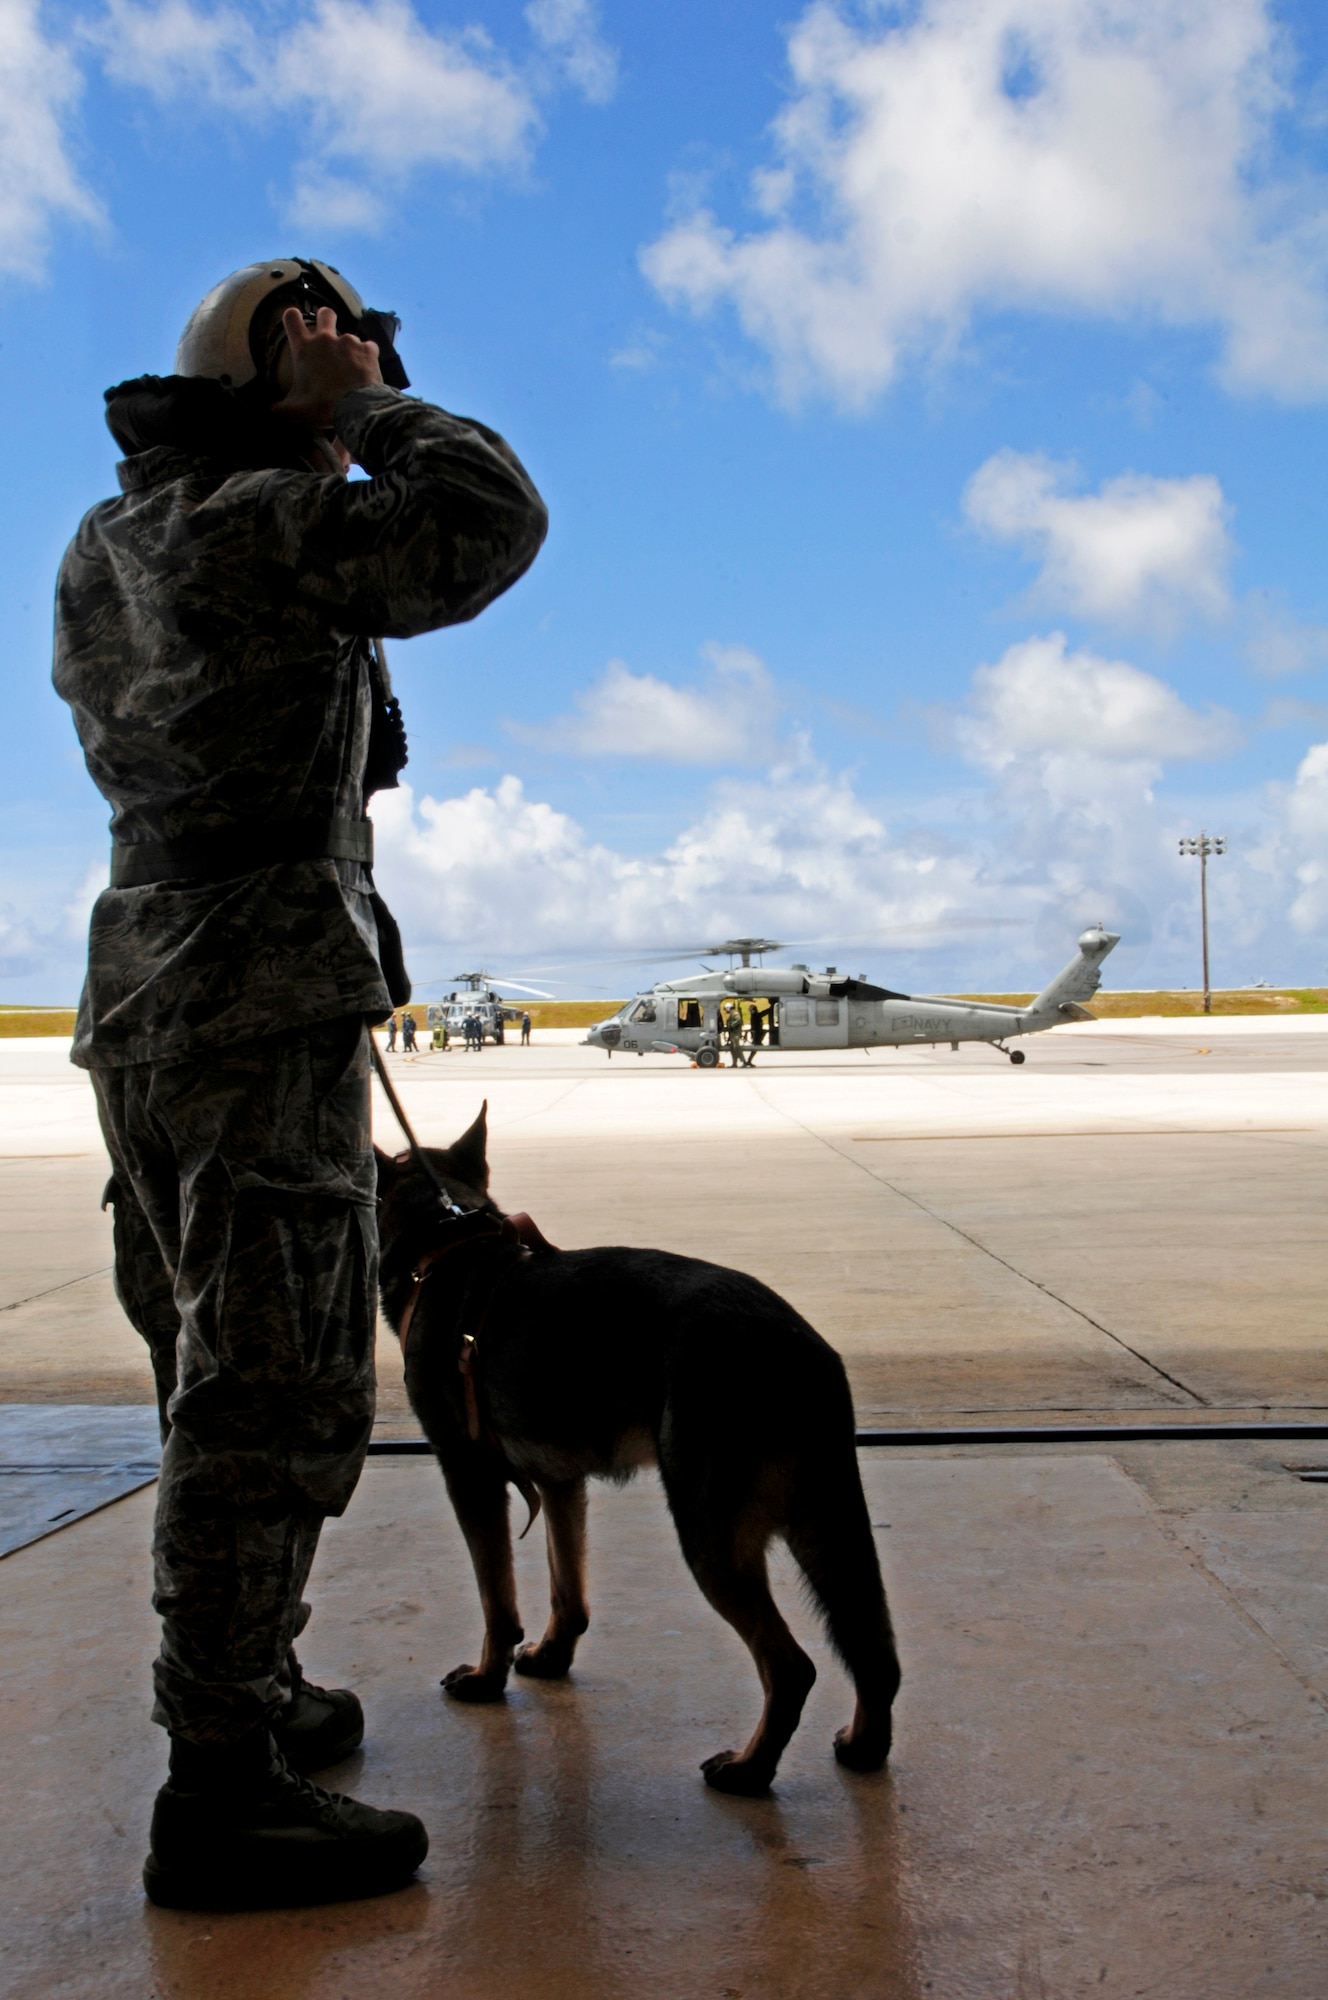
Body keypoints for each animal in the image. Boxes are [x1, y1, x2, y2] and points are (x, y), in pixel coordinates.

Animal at [376, 1112, 904, 1800]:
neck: (447, 1244)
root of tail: (798, 1345)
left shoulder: (471, 1476)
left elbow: (498, 1601)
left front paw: (489, 1679)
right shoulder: (560, 1485)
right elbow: (567, 1591)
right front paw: (552, 1657)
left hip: (713, 1538)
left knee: (792, 1669)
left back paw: (750, 1769)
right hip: (823, 1527)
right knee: (874, 1653)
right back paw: (864, 1748)